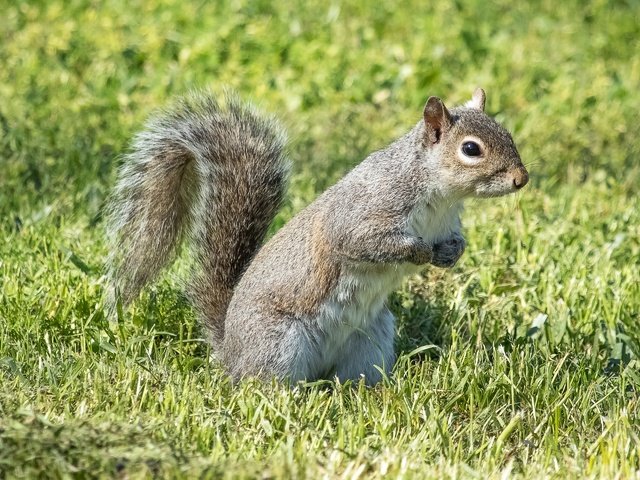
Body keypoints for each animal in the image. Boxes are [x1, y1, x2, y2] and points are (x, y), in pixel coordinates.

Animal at [107, 88, 528, 384]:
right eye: (470, 149)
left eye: (508, 134)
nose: (521, 179)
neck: (440, 197)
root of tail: (229, 351)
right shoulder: (362, 213)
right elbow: (362, 243)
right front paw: (419, 251)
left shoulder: (448, 223)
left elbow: (455, 242)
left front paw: (449, 253)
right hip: (278, 342)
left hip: (371, 338)